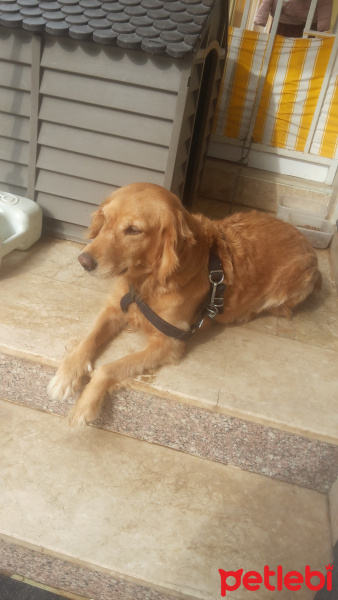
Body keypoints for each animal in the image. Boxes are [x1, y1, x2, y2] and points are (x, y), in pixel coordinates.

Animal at [46, 183, 320, 426]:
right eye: (105, 220)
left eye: (133, 230)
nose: (83, 261)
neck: (148, 282)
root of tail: (303, 235)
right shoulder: (114, 308)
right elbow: (88, 340)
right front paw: (66, 376)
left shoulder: (169, 341)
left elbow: (108, 369)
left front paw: (85, 405)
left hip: (296, 282)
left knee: (281, 308)